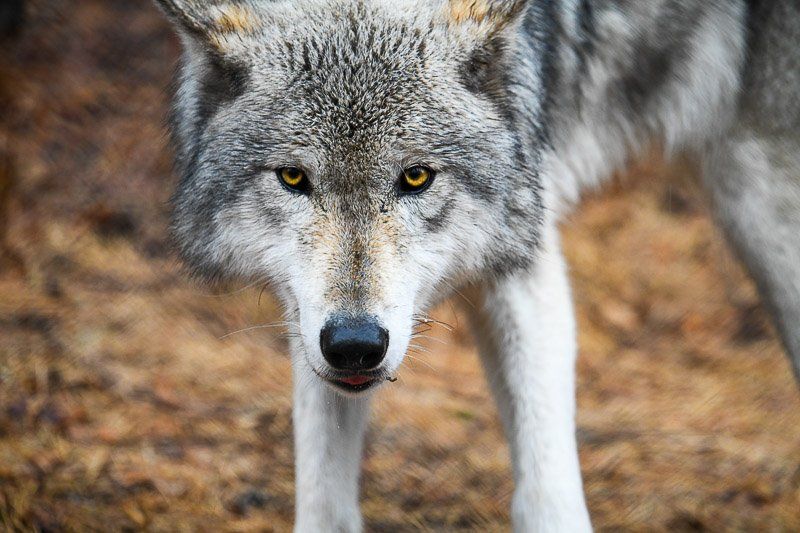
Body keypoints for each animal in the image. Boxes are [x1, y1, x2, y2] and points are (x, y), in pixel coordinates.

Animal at [153, 1, 796, 528]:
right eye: (293, 178)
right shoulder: (309, 323)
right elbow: (323, 499)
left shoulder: (524, 267)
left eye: (416, 177)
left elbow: (547, 495)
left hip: (760, 202)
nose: (357, 345)